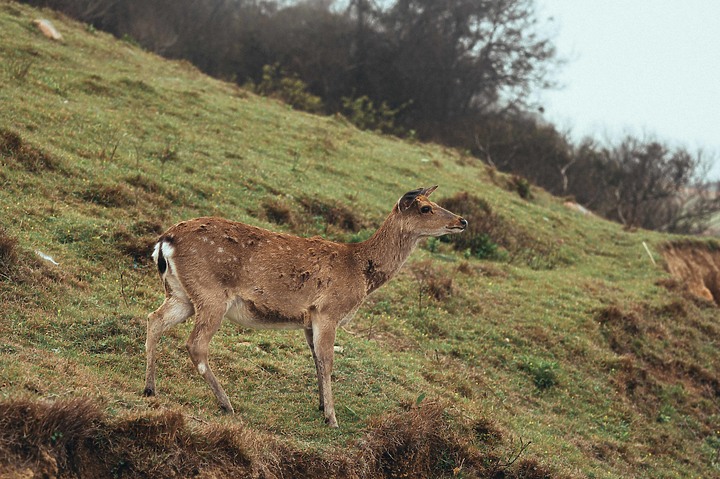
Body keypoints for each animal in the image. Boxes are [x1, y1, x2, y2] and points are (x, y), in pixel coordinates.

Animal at [146, 187, 466, 428]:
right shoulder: (328, 311)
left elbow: (315, 359)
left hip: (181, 294)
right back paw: (226, 403)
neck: (361, 272)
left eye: (434, 203)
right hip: (211, 293)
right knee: (195, 344)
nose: (462, 221)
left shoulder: (308, 319)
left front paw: (321, 406)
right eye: (425, 208)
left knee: (154, 319)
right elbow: (328, 360)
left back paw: (150, 388)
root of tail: (163, 243)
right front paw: (332, 418)